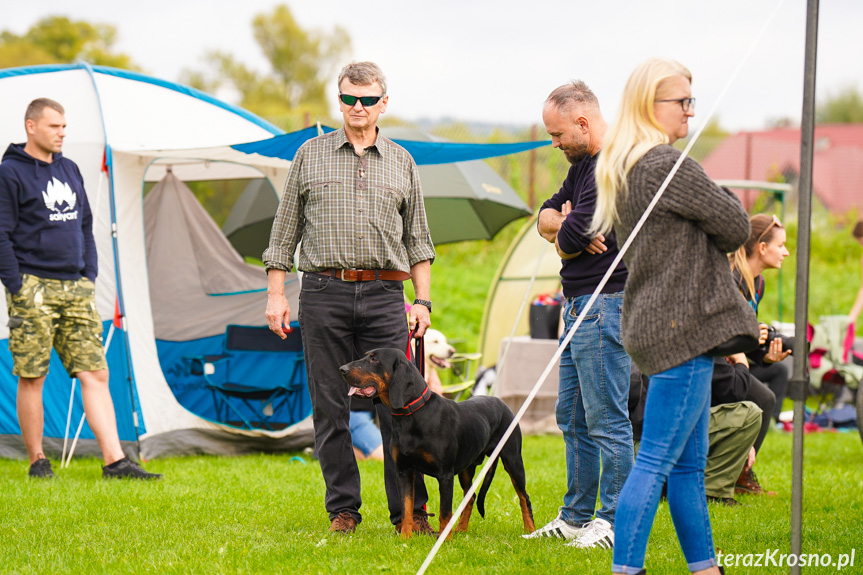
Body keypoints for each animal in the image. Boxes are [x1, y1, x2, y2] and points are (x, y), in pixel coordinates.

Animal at [340, 346, 532, 540]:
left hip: (513, 461)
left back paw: (530, 531)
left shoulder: (445, 475)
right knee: (470, 498)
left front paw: (445, 540)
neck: (410, 415)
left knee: (524, 497)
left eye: (374, 359)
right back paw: (461, 529)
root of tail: (502, 403)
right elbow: (407, 509)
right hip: (466, 470)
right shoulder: (404, 471)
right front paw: (405, 538)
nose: (342, 369)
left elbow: (444, 512)